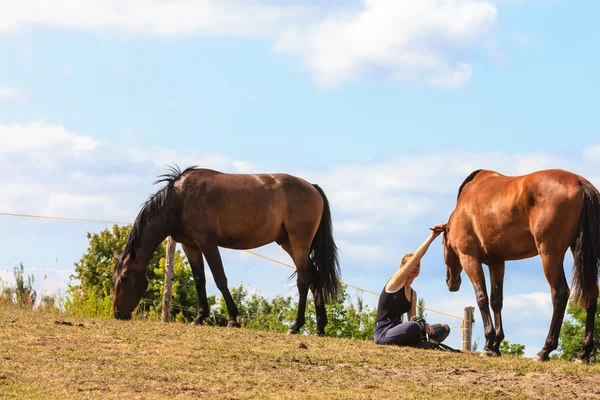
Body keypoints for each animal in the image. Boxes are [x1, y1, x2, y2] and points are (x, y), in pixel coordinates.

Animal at [111, 164, 338, 336]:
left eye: (125, 277)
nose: (117, 314)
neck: (180, 199)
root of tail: (312, 187)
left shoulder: (208, 243)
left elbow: (220, 279)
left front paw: (232, 319)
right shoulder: (190, 245)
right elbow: (199, 280)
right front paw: (200, 317)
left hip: (299, 242)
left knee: (303, 280)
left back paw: (295, 326)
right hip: (287, 242)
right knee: (315, 278)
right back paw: (320, 328)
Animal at [440, 169, 600, 362]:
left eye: (442, 243)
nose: (451, 282)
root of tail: (580, 182)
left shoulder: (470, 259)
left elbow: (482, 298)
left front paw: (488, 343)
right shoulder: (497, 262)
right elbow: (496, 301)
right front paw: (495, 345)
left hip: (550, 255)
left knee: (560, 293)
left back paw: (544, 350)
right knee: (591, 293)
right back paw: (583, 353)